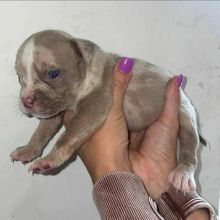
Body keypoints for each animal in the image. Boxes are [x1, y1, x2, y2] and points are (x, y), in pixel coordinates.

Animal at [10, 30, 206, 192]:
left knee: (190, 148)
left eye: (53, 73)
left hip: (186, 115)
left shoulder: (93, 106)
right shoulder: (55, 112)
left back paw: (182, 174)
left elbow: (66, 137)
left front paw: (48, 160)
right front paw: (28, 150)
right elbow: (41, 132)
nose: (26, 100)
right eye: (19, 77)